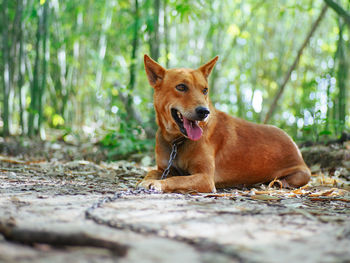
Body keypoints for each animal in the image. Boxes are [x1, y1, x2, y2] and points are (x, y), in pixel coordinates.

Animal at [138, 54, 310, 194]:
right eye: (181, 87)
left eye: (205, 90)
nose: (204, 112)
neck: (176, 141)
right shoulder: (164, 168)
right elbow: (151, 172)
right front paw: (146, 180)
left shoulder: (205, 178)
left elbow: (176, 179)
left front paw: (157, 184)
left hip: (302, 174)